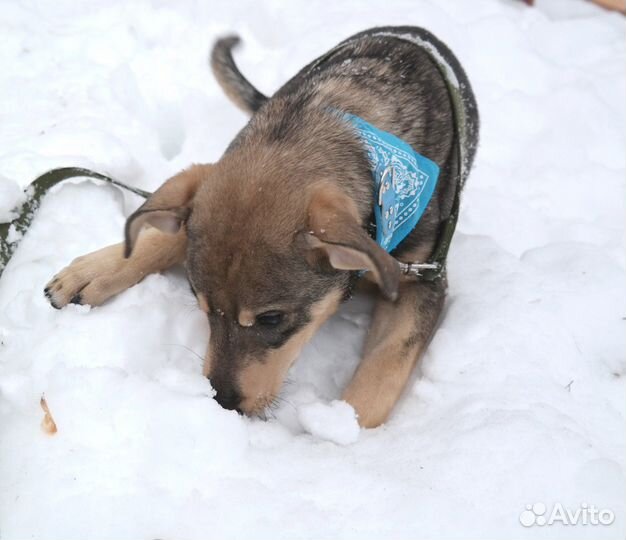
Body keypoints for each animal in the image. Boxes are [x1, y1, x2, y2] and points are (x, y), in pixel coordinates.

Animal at [44, 27, 478, 428]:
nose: (222, 403)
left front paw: (339, 428)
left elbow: (386, 365)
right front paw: (98, 270)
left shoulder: (421, 279)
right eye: (200, 305)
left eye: (271, 319)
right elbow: (170, 233)